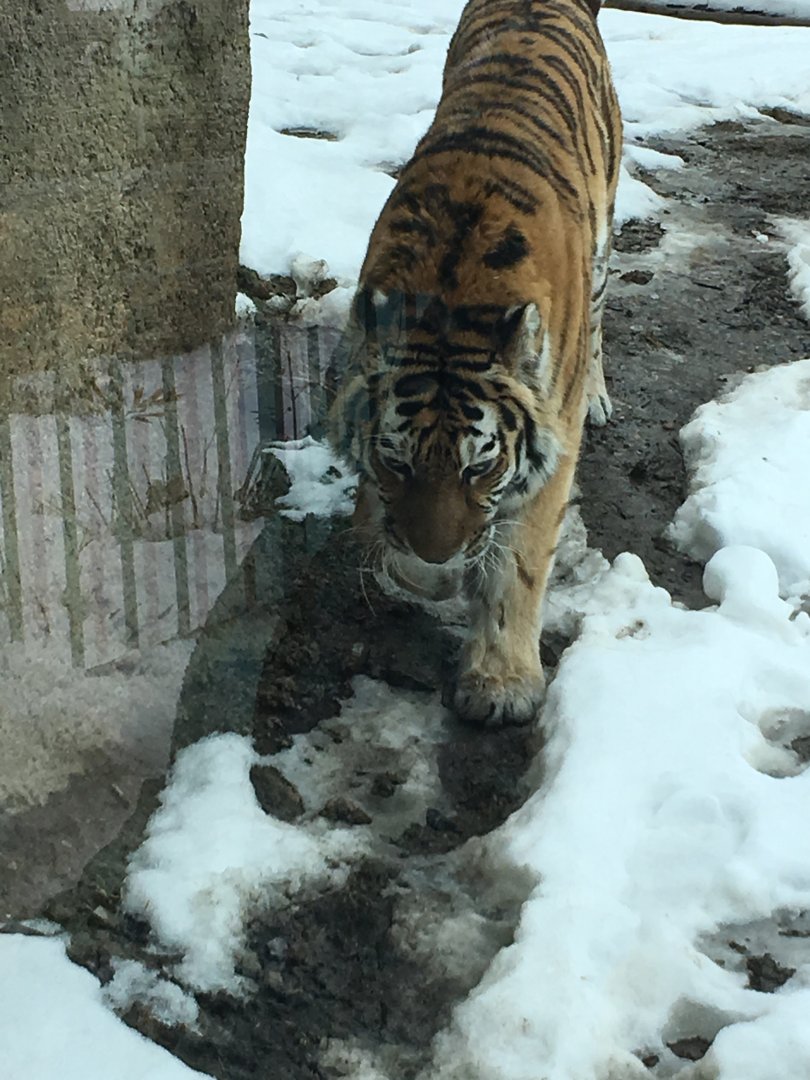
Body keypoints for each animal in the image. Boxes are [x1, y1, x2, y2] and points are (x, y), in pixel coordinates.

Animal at [329, 0, 622, 727]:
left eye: (481, 466)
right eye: (396, 460)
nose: (439, 555)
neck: (452, 295)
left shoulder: (551, 446)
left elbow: (517, 564)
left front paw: (500, 684)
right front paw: (417, 574)